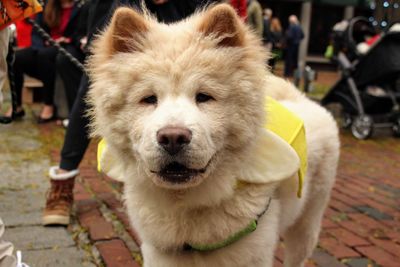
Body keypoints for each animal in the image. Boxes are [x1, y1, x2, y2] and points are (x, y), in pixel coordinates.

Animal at [88, 4, 340, 267]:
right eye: (148, 99)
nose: (173, 138)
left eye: (204, 97)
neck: (187, 205)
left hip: (307, 224)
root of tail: (301, 98)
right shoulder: (160, 254)